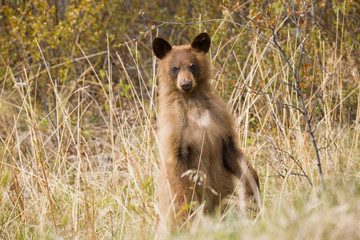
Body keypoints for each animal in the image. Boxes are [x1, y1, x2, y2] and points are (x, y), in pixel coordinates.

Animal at [153, 32, 262, 225]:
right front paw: (190, 211)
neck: (193, 104)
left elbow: (236, 155)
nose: (186, 84)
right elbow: (178, 171)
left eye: (193, 65)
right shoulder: (174, 131)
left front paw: (252, 191)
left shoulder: (220, 122)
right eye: (174, 68)